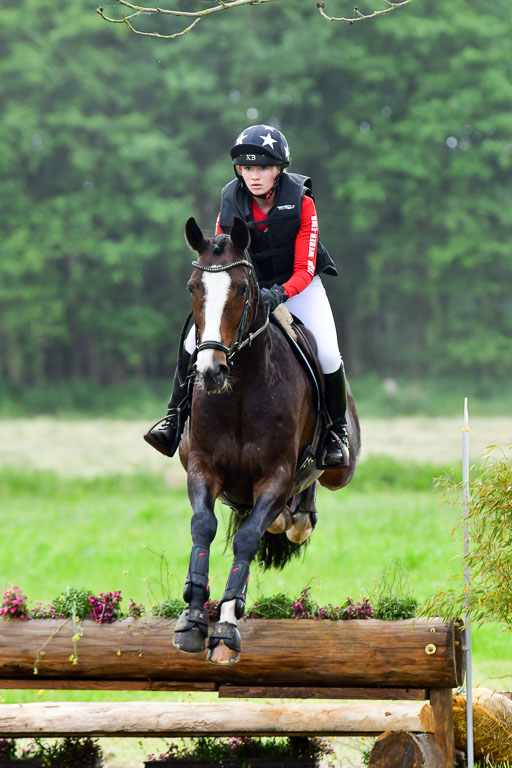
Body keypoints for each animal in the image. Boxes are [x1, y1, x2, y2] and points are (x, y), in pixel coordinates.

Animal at [174, 215, 361, 665]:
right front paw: (193, 620)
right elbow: (203, 527)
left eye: (243, 288)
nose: (210, 372)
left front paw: (225, 628)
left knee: (311, 485)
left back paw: (302, 513)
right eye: (193, 287)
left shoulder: (275, 475)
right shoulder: (202, 468)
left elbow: (245, 538)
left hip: (340, 470)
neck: (240, 388)